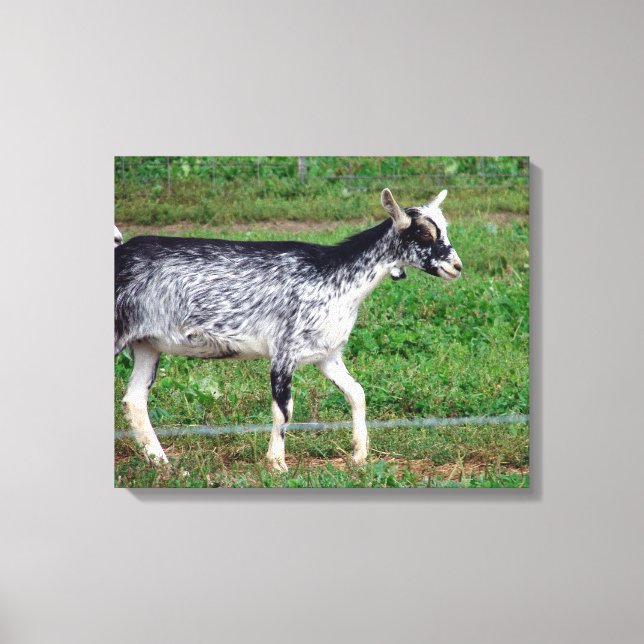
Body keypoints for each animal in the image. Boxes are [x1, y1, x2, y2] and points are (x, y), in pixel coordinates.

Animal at [114, 188, 462, 471]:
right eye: (424, 234)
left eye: (444, 230)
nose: (456, 266)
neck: (334, 275)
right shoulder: (284, 352)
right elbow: (284, 410)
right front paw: (277, 464)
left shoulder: (327, 355)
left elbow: (357, 393)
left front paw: (359, 455)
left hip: (147, 345)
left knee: (134, 400)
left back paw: (164, 465)